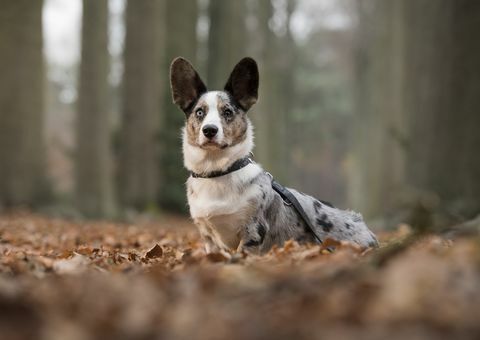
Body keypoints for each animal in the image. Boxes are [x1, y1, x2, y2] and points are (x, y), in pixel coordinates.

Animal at [170, 56, 378, 252]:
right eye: (199, 112)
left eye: (227, 112)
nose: (209, 130)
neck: (218, 171)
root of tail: (365, 227)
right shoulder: (209, 238)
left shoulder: (253, 231)